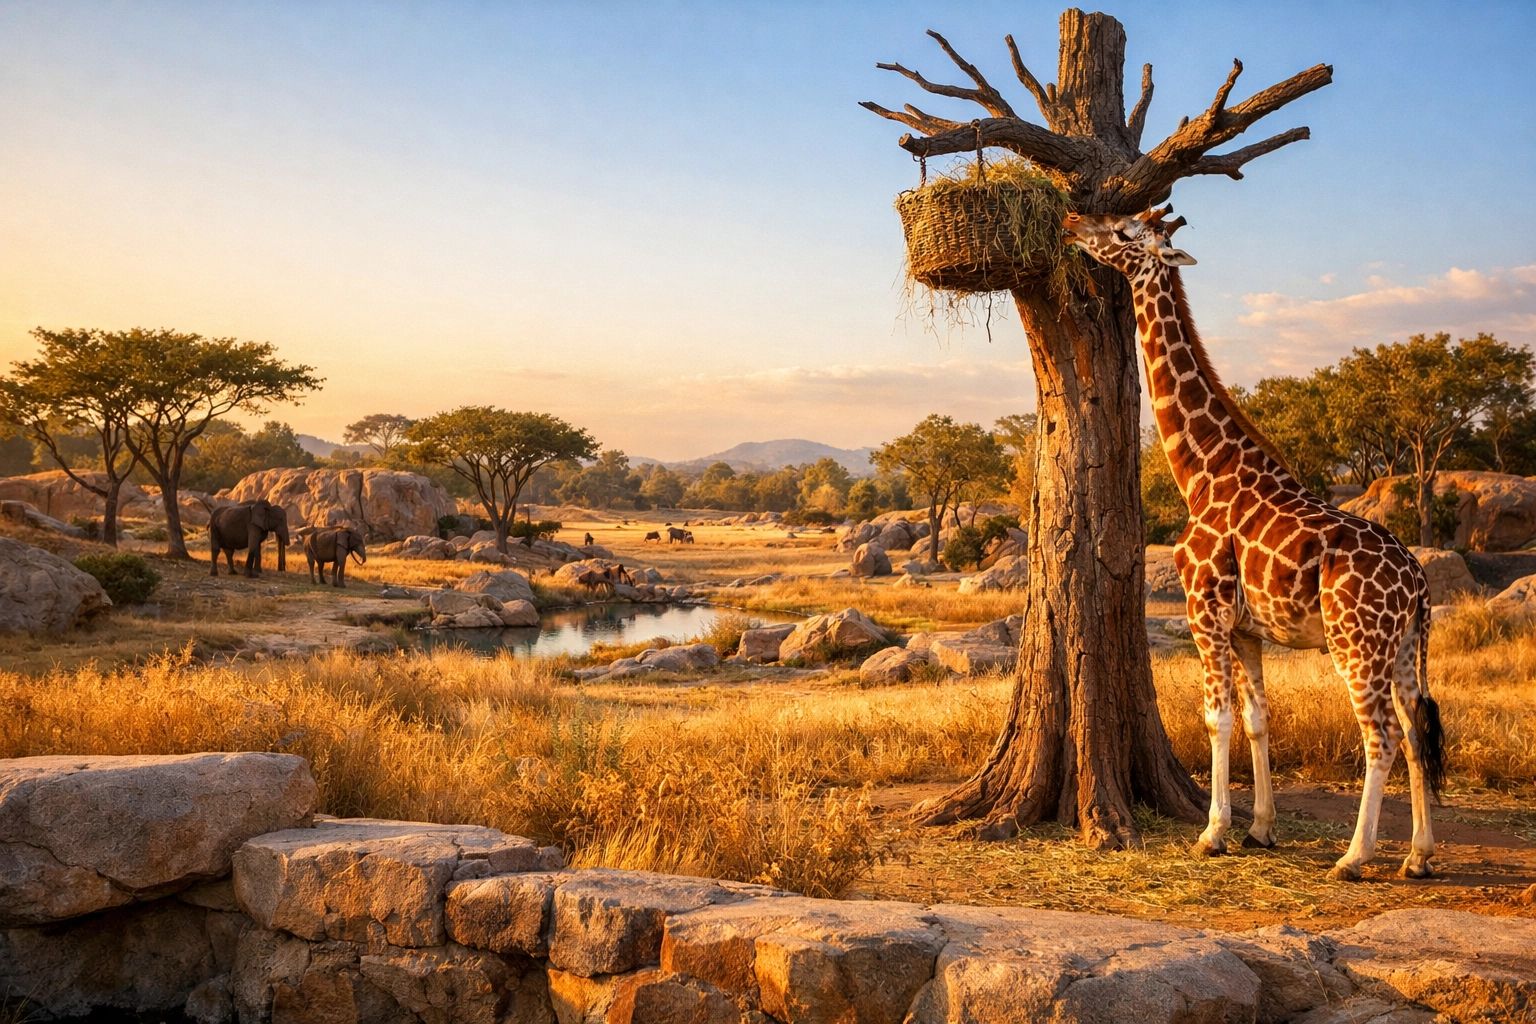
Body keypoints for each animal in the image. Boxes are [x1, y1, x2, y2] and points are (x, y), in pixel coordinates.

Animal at [1062, 207, 1446, 880]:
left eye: (1129, 233)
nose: (1074, 220)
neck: (1203, 473)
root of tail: (1419, 584)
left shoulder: (1204, 613)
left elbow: (1215, 719)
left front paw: (1213, 831)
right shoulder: (1247, 630)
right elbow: (1257, 720)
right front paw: (1261, 828)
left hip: (1356, 643)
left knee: (1383, 737)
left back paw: (1355, 855)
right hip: (1402, 649)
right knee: (1416, 727)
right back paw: (1419, 856)